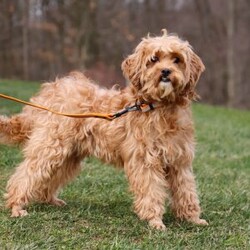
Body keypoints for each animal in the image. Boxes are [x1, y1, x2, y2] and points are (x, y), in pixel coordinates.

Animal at [0, 28, 207, 229]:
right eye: (154, 59)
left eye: (177, 59)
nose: (165, 71)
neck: (158, 106)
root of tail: (49, 93)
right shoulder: (145, 160)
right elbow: (151, 191)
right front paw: (155, 221)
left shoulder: (179, 161)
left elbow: (186, 190)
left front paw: (192, 218)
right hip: (50, 147)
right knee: (27, 174)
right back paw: (16, 205)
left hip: (68, 156)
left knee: (50, 177)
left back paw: (49, 199)